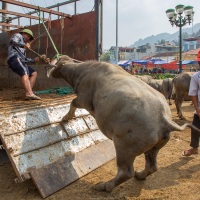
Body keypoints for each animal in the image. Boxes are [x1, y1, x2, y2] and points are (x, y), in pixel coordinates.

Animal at [45, 55, 200, 192]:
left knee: (125, 172)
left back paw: (104, 186)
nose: (48, 66)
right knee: (152, 166)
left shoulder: (84, 98)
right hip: (154, 147)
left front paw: (66, 118)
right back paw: (140, 175)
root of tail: (164, 119)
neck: (82, 71)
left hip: (124, 146)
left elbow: (73, 103)